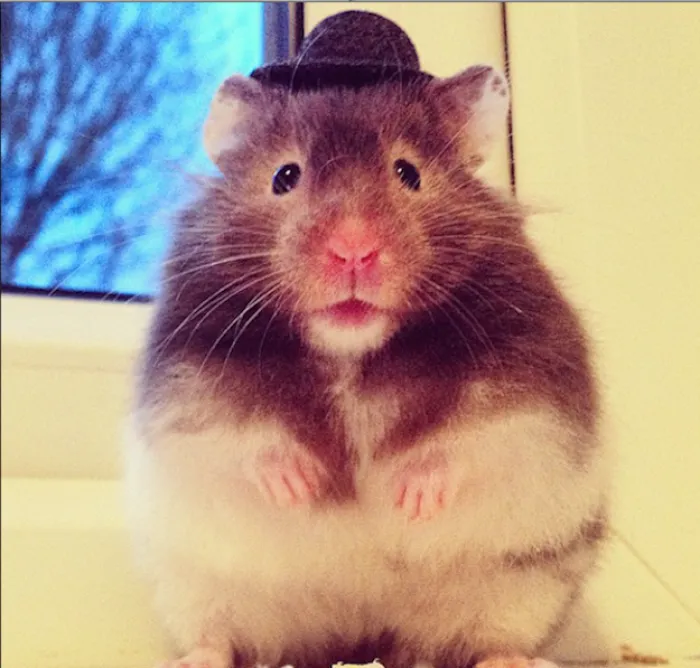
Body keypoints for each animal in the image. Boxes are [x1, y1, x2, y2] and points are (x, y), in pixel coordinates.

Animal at [125, 62, 609, 668]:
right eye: (285, 176)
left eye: (408, 172)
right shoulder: (189, 389)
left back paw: (515, 660)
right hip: (196, 587)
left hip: (522, 588)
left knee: (494, 640)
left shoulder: (528, 394)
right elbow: (244, 437)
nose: (353, 250)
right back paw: (197, 658)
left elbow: (469, 441)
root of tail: (359, 636)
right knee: (216, 635)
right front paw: (300, 487)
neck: (348, 352)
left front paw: (411, 500)